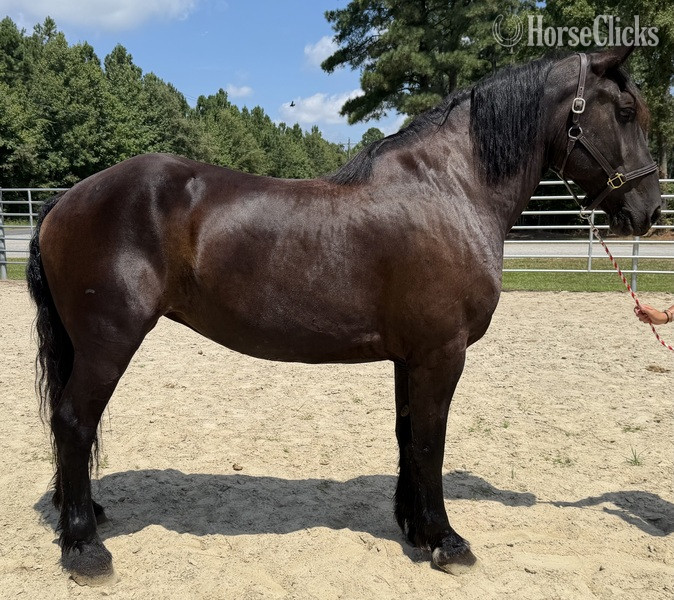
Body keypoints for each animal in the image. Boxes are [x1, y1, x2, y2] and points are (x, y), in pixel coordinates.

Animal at [27, 46, 662, 584]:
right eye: (625, 111)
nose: (647, 211)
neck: (452, 189)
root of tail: (65, 199)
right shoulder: (442, 353)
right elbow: (431, 441)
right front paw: (446, 541)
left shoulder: (412, 357)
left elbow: (407, 434)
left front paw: (414, 528)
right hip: (109, 343)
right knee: (74, 422)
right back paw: (85, 549)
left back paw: (83, 517)